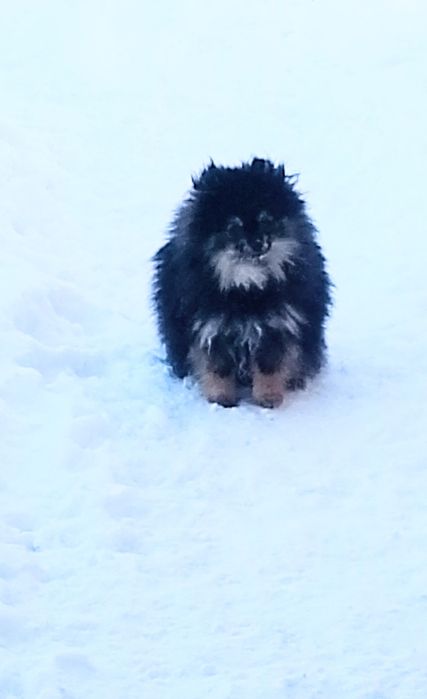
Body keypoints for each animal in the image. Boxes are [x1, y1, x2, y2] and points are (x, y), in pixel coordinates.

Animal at [153, 158, 331, 407]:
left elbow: (270, 367)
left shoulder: (276, 327)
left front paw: (268, 397)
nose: (258, 243)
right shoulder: (210, 328)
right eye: (233, 227)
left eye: (266, 221)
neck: (247, 288)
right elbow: (217, 367)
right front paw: (221, 398)